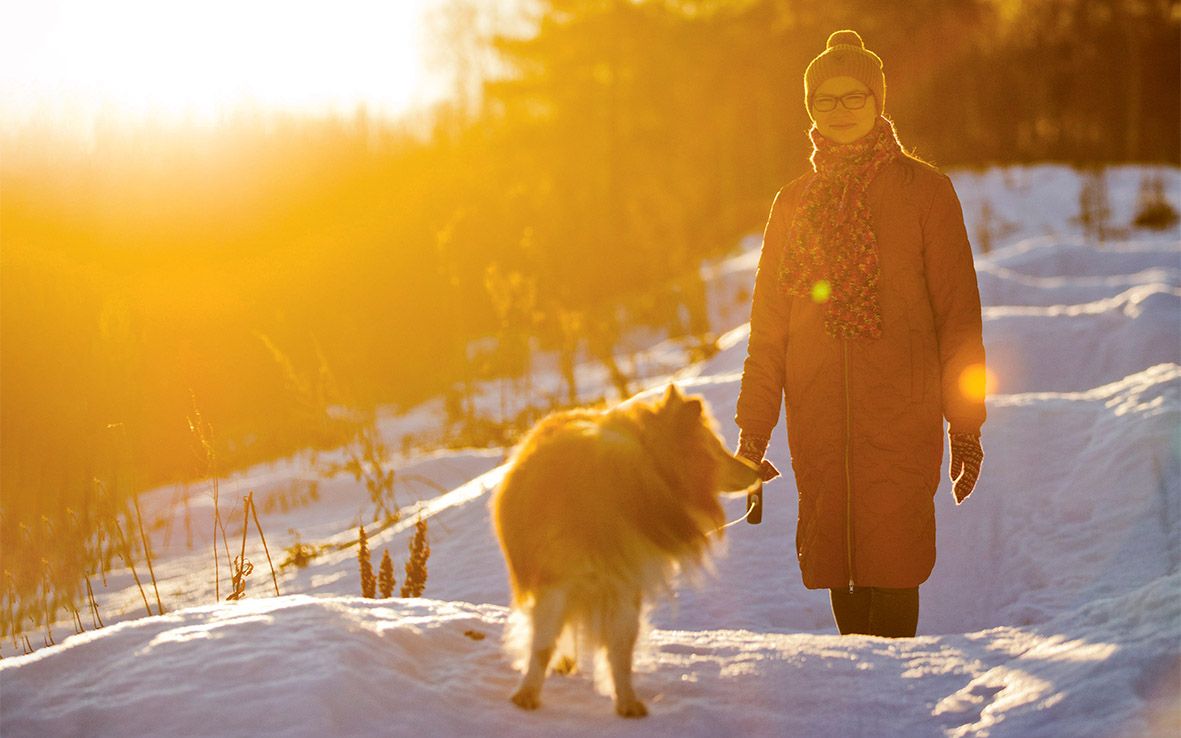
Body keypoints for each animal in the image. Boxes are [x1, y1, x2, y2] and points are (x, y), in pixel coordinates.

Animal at [488, 382, 755, 717]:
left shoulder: (625, 586)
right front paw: (527, 693)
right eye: (717, 448)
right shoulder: (556, 581)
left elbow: (621, 650)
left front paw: (626, 700)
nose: (759, 470)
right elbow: (542, 644)